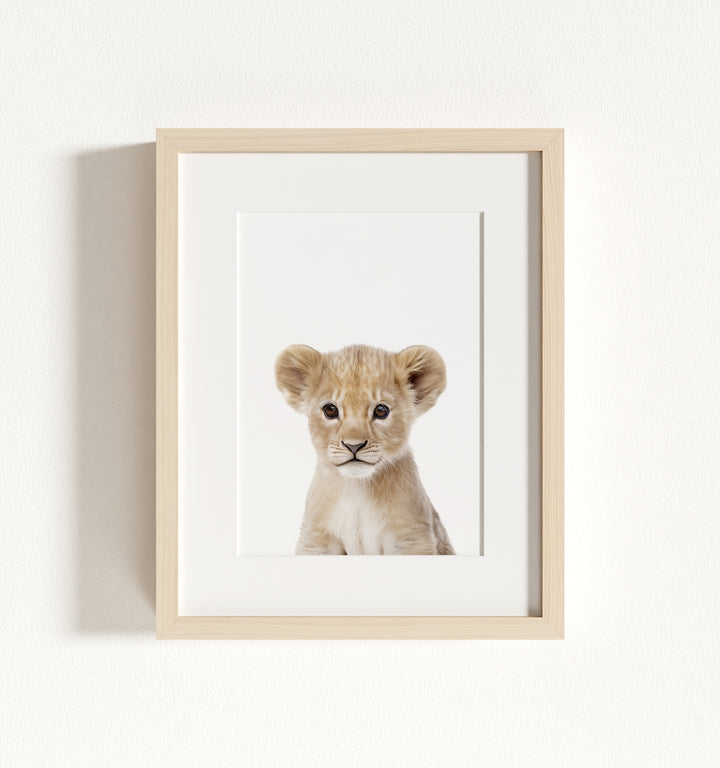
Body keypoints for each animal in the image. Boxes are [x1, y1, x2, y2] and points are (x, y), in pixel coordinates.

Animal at [275, 344, 455, 555]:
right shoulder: (315, 541)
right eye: (330, 410)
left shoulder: (413, 539)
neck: (358, 489)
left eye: (381, 411)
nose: (354, 445)